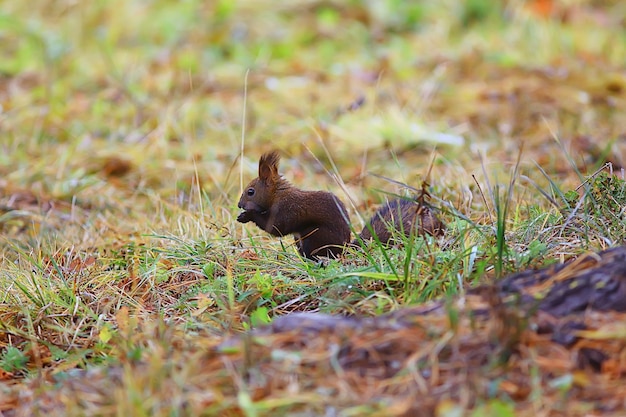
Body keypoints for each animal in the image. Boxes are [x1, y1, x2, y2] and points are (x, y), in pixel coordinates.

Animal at [235, 150, 444, 260]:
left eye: (250, 191)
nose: (239, 205)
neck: (277, 194)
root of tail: (345, 249)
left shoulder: (287, 208)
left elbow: (276, 227)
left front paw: (248, 216)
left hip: (315, 237)